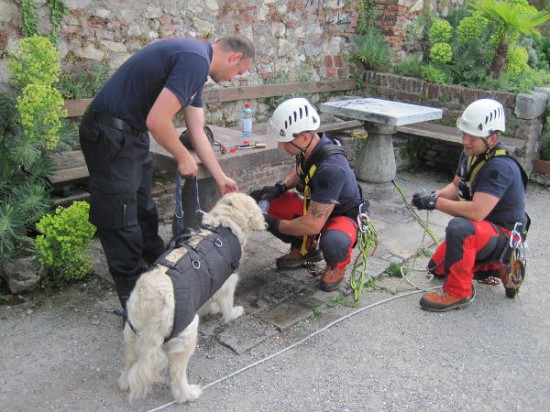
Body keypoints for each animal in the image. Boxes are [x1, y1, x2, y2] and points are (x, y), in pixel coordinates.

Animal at [119, 193, 268, 402]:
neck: (224, 225)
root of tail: (151, 303)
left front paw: (210, 309)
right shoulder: (227, 282)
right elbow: (227, 305)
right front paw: (233, 313)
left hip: (131, 334)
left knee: (129, 365)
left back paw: (124, 383)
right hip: (186, 337)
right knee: (177, 375)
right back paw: (188, 394)